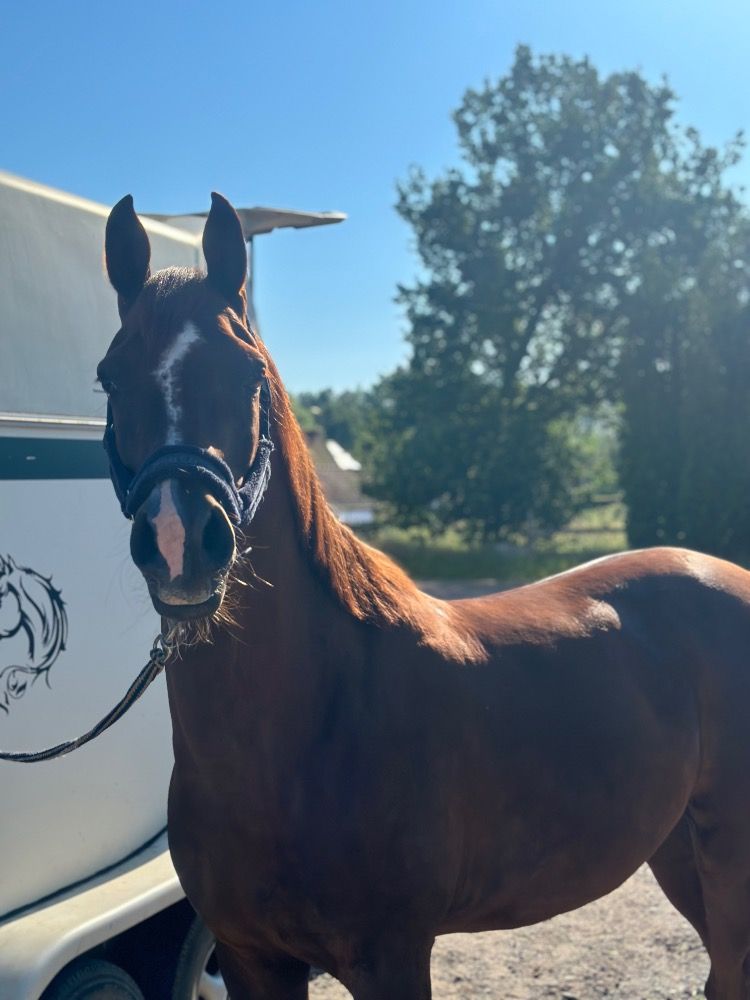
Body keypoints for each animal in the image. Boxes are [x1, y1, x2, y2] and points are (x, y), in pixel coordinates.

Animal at [98, 191, 750, 1000]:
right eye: (110, 377)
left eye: (248, 372)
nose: (180, 540)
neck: (304, 729)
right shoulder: (250, 959)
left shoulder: (393, 956)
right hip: (677, 848)